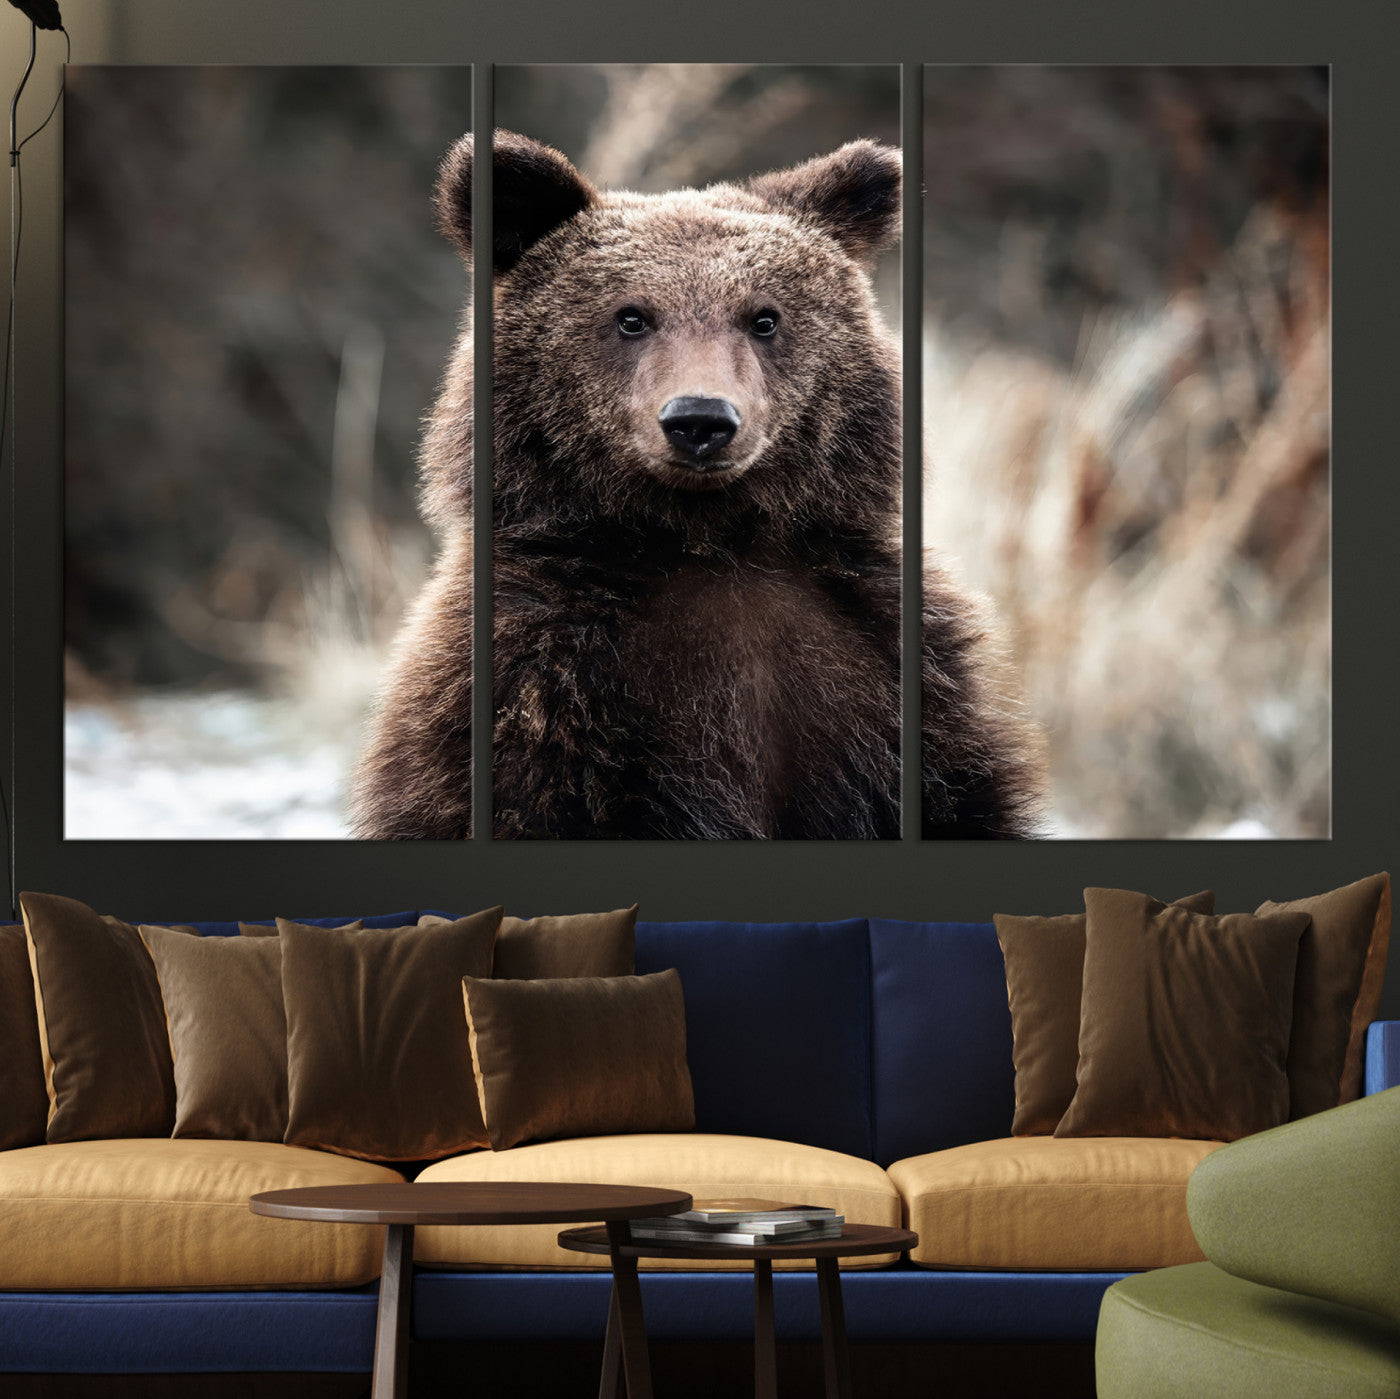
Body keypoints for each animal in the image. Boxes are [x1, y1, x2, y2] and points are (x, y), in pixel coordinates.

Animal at [350, 130, 1042, 840]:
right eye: (631, 317)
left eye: (764, 318)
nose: (700, 420)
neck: (707, 540)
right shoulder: (539, 688)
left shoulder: (890, 672)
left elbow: (958, 796)